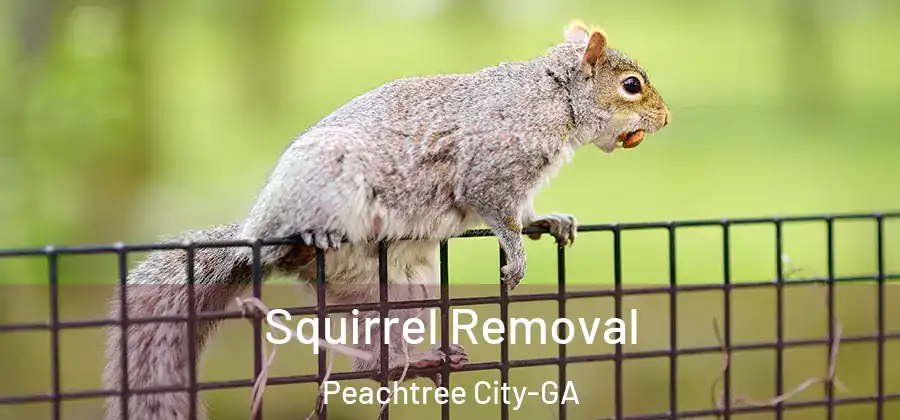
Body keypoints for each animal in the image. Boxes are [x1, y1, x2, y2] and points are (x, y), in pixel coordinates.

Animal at [101, 20, 670, 420]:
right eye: (631, 85)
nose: (665, 120)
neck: (554, 99)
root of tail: (252, 235)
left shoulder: (519, 184)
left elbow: (525, 212)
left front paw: (550, 222)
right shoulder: (489, 168)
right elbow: (498, 214)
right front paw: (516, 256)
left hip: (401, 291)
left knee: (372, 361)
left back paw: (418, 360)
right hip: (326, 187)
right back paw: (307, 239)